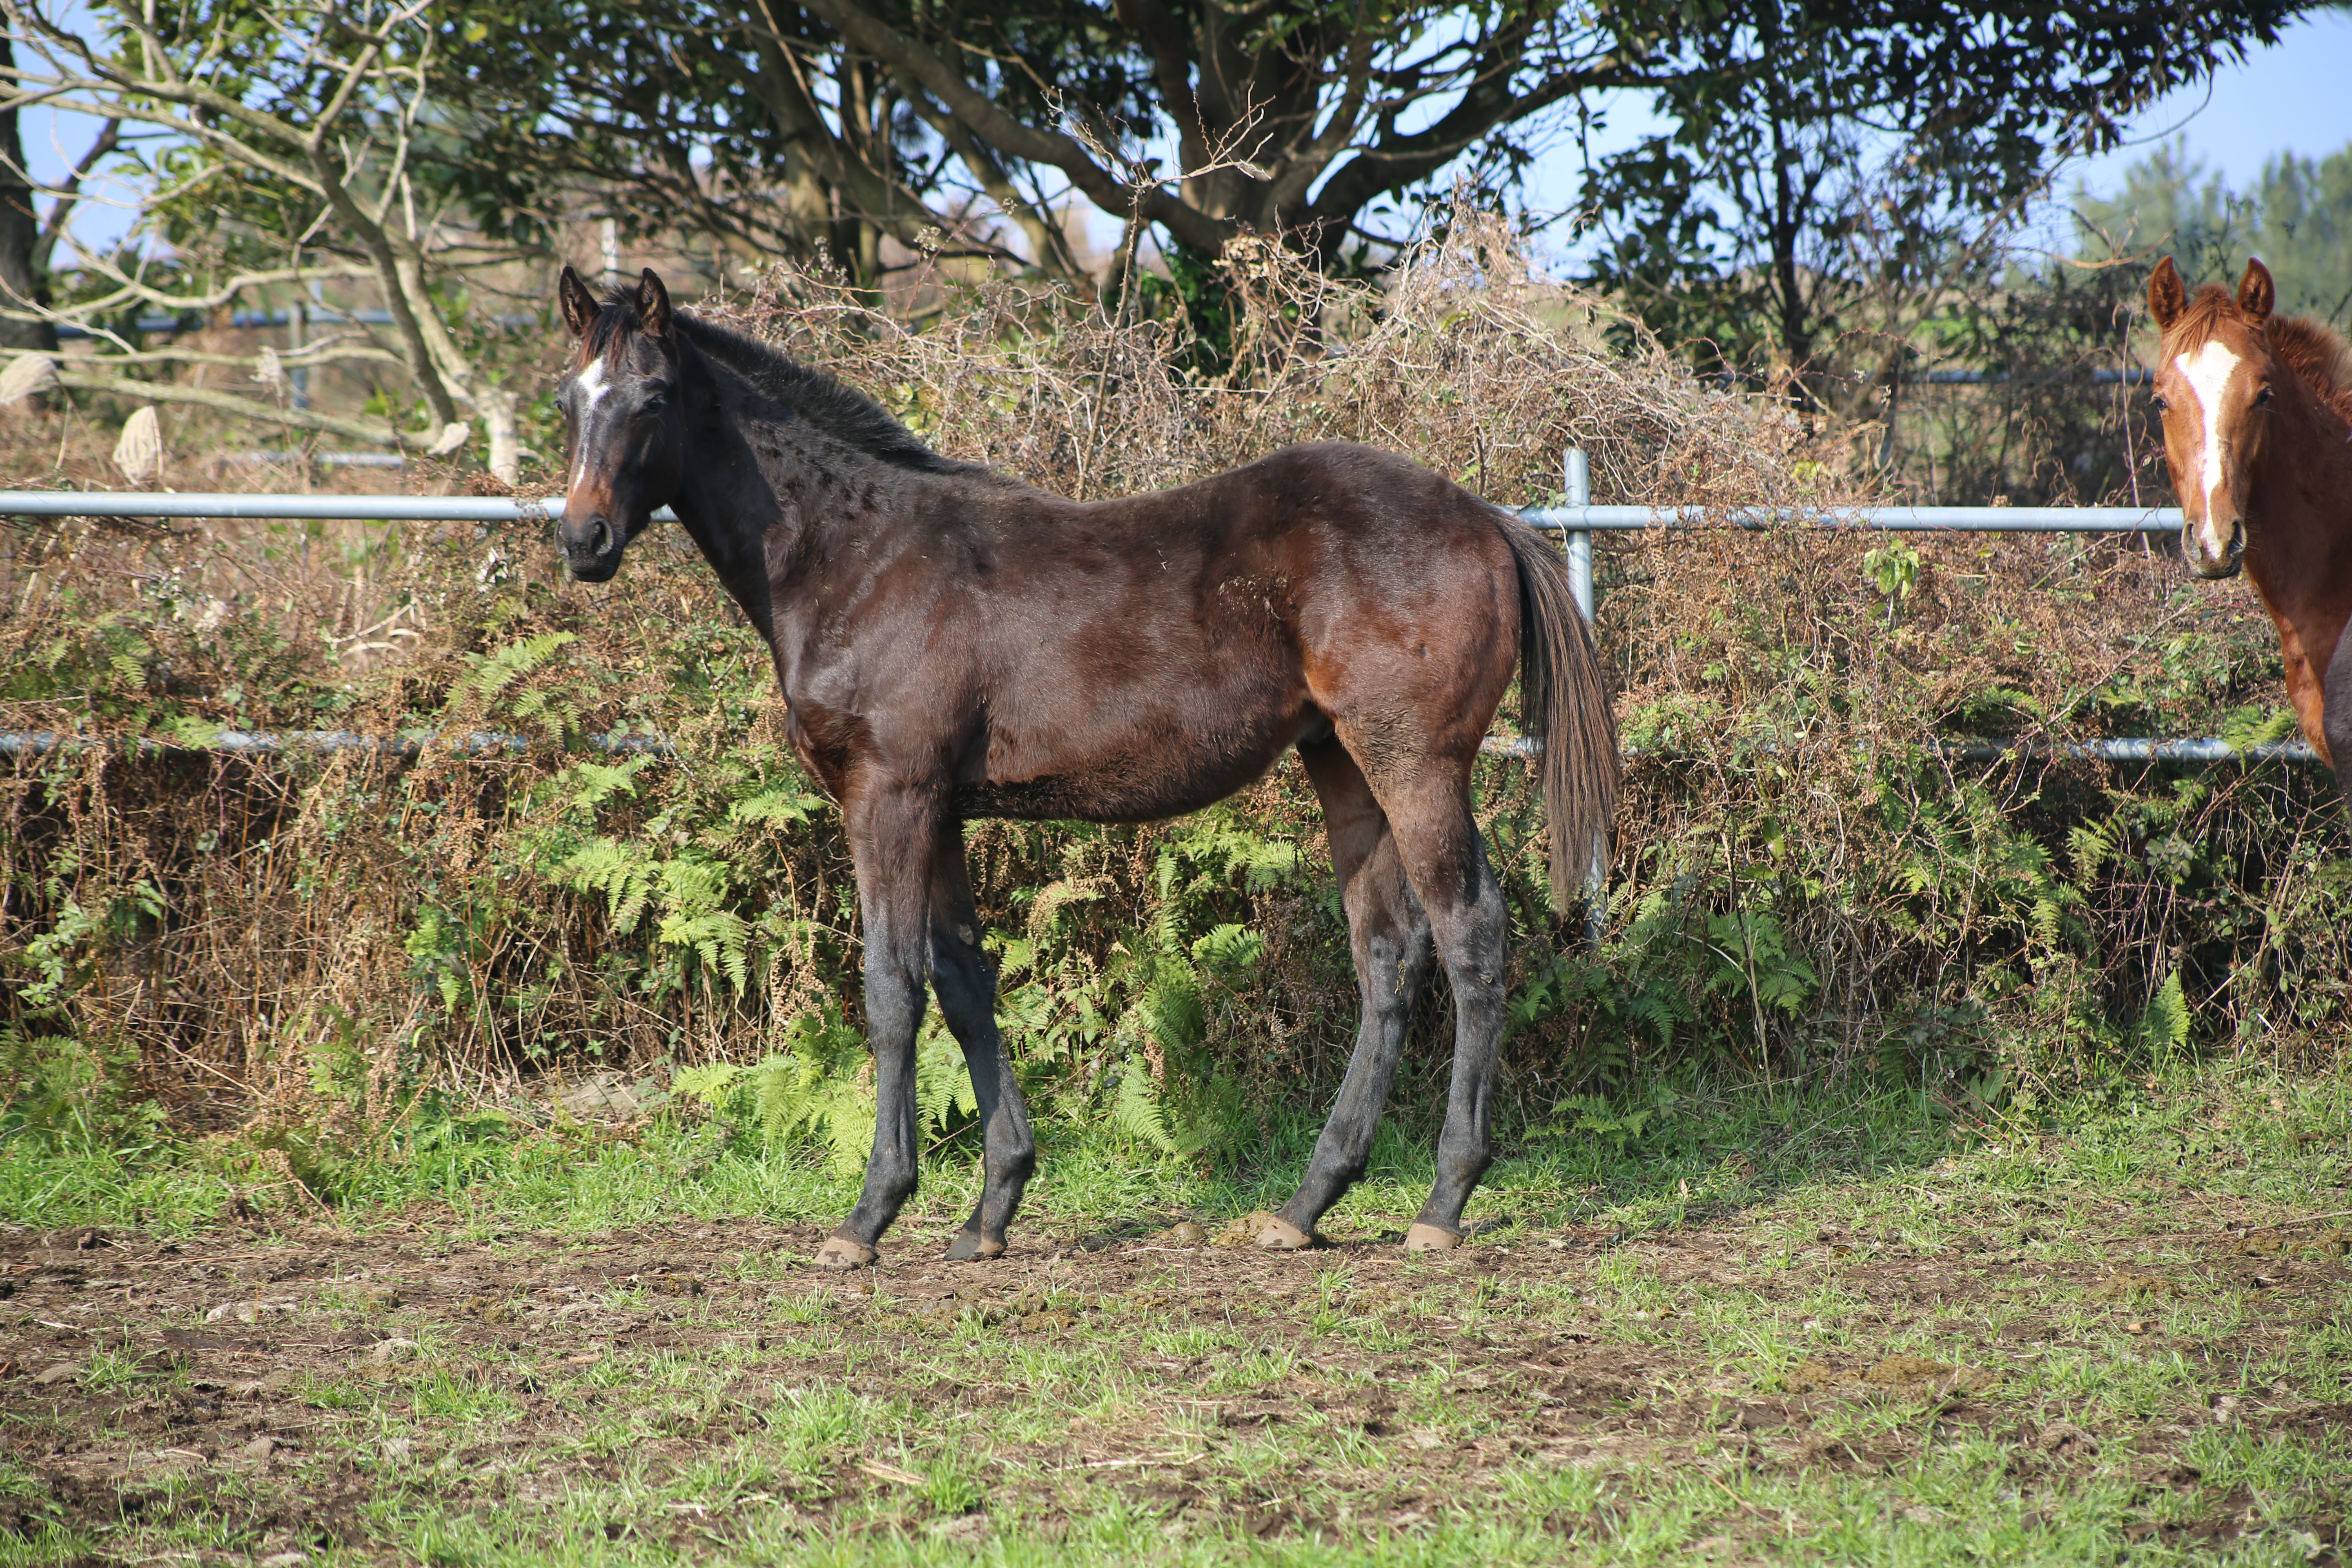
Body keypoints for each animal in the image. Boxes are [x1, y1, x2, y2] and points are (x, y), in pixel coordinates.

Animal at [550, 270, 1618, 1269]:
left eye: (653, 398)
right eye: (568, 399)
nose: (582, 540)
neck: (858, 555)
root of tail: (1486, 518)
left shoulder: (888, 796)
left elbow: (892, 988)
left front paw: (868, 1216)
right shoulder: (941, 810)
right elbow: (963, 982)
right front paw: (991, 1211)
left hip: (1415, 764)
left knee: (1470, 932)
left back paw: (1442, 1202)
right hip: (1342, 764)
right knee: (1388, 951)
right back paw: (1304, 1205)